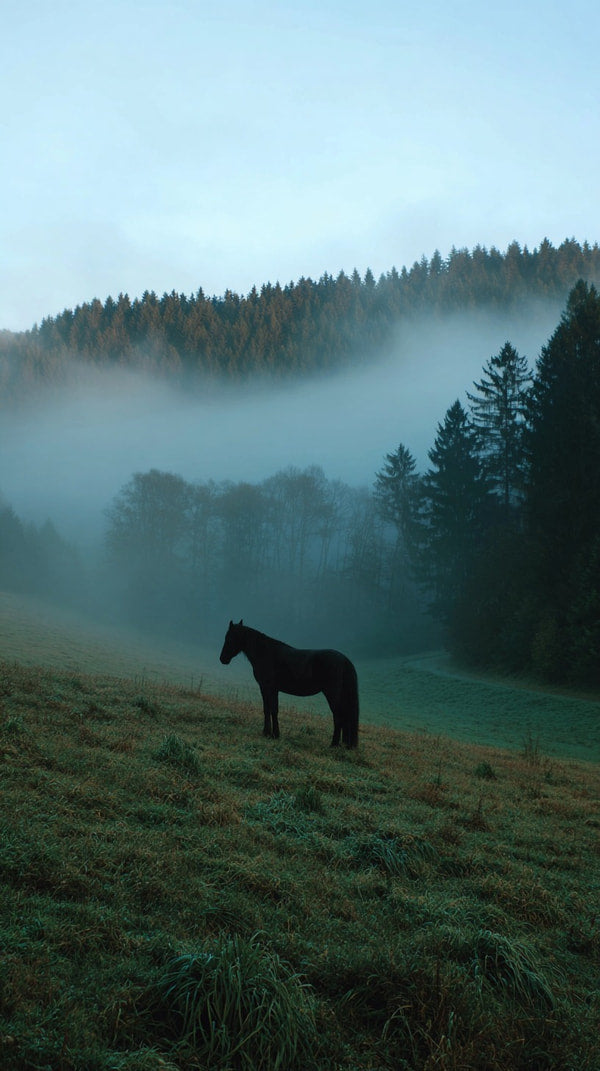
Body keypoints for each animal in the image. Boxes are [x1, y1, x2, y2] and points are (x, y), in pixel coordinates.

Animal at [219, 620, 359, 748]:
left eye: (229, 638)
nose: (222, 659)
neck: (266, 653)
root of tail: (344, 660)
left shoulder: (270, 688)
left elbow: (273, 710)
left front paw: (275, 734)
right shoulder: (264, 688)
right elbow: (267, 709)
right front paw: (266, 732)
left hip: (332, 695)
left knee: (338, 717)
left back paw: (334, 744)